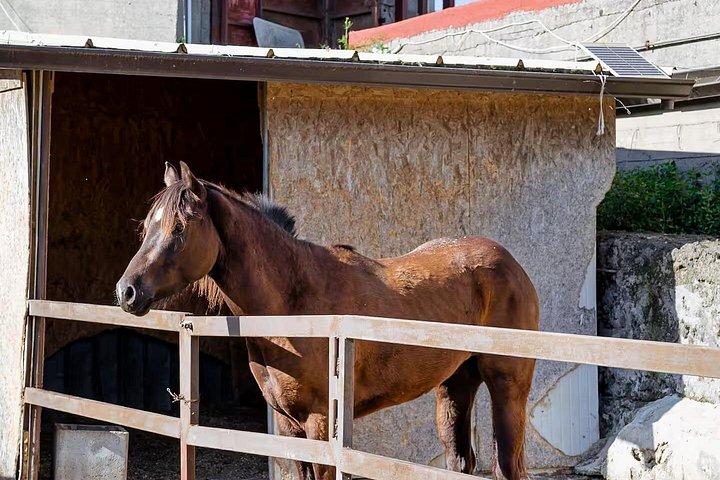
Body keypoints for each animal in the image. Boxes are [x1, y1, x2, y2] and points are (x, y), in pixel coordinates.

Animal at [116, 162, 539, 480]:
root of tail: (511, 264)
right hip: (454, 385)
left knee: (508, 465)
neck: (296, 306)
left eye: (178, 229)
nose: (126, 292)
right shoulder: (289, 426)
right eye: (146, 228)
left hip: (507, 386)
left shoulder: (320, 423)